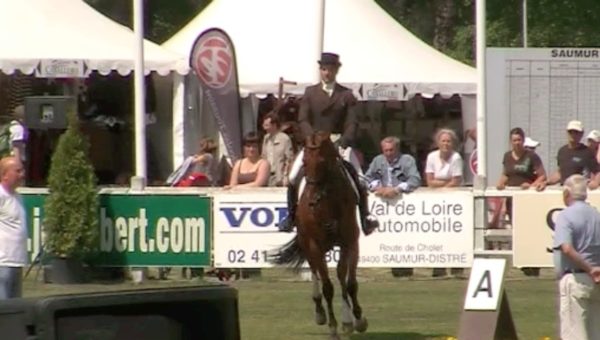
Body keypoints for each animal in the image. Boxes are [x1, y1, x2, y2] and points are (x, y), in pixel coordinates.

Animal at [272, 131, 366, 340]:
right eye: (305, 162)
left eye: (323, 162)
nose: (312, 200)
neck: (327, 201)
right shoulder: (315, 246)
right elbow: (327, 287)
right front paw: (333, 327)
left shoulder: (350, 242)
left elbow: (351, 283)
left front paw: (358, 320)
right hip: (308, 245)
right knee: (315, 272)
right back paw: (320, 313)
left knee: (340, 274)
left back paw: (348, 320)